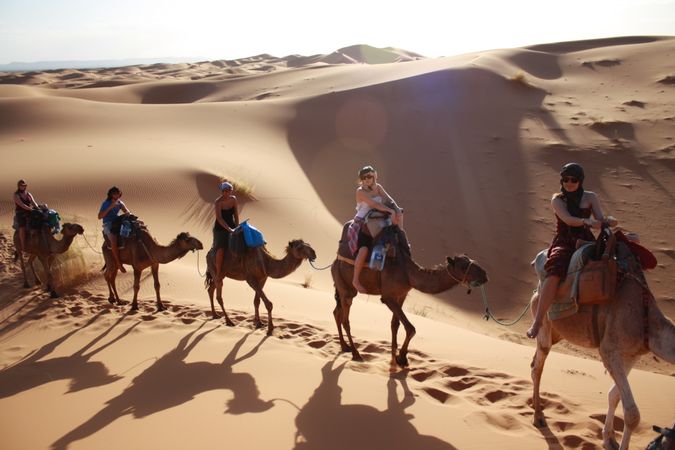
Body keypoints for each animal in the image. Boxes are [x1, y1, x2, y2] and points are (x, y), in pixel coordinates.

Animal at [332, 225, 486, 370]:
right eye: (463, 266)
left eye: (473, 261)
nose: (484, 275)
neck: (407, 273)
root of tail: (334, 263)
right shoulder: (387, 297)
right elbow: (411, 328)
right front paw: (402, 358)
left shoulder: (401, 295)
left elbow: (395, 325)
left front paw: (394, 357)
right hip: (344, 287)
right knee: (345, 318)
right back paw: (356, 354)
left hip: (345, 287)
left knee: (337, 312)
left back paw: (345, 347)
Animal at [532, 239, 672, 450]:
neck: (647, 319)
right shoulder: (609, 350)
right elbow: (632, 413)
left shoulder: (632, 354)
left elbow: (614, 395)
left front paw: (609, 438)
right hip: (544, 322)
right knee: (537, 366)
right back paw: (539, 417)